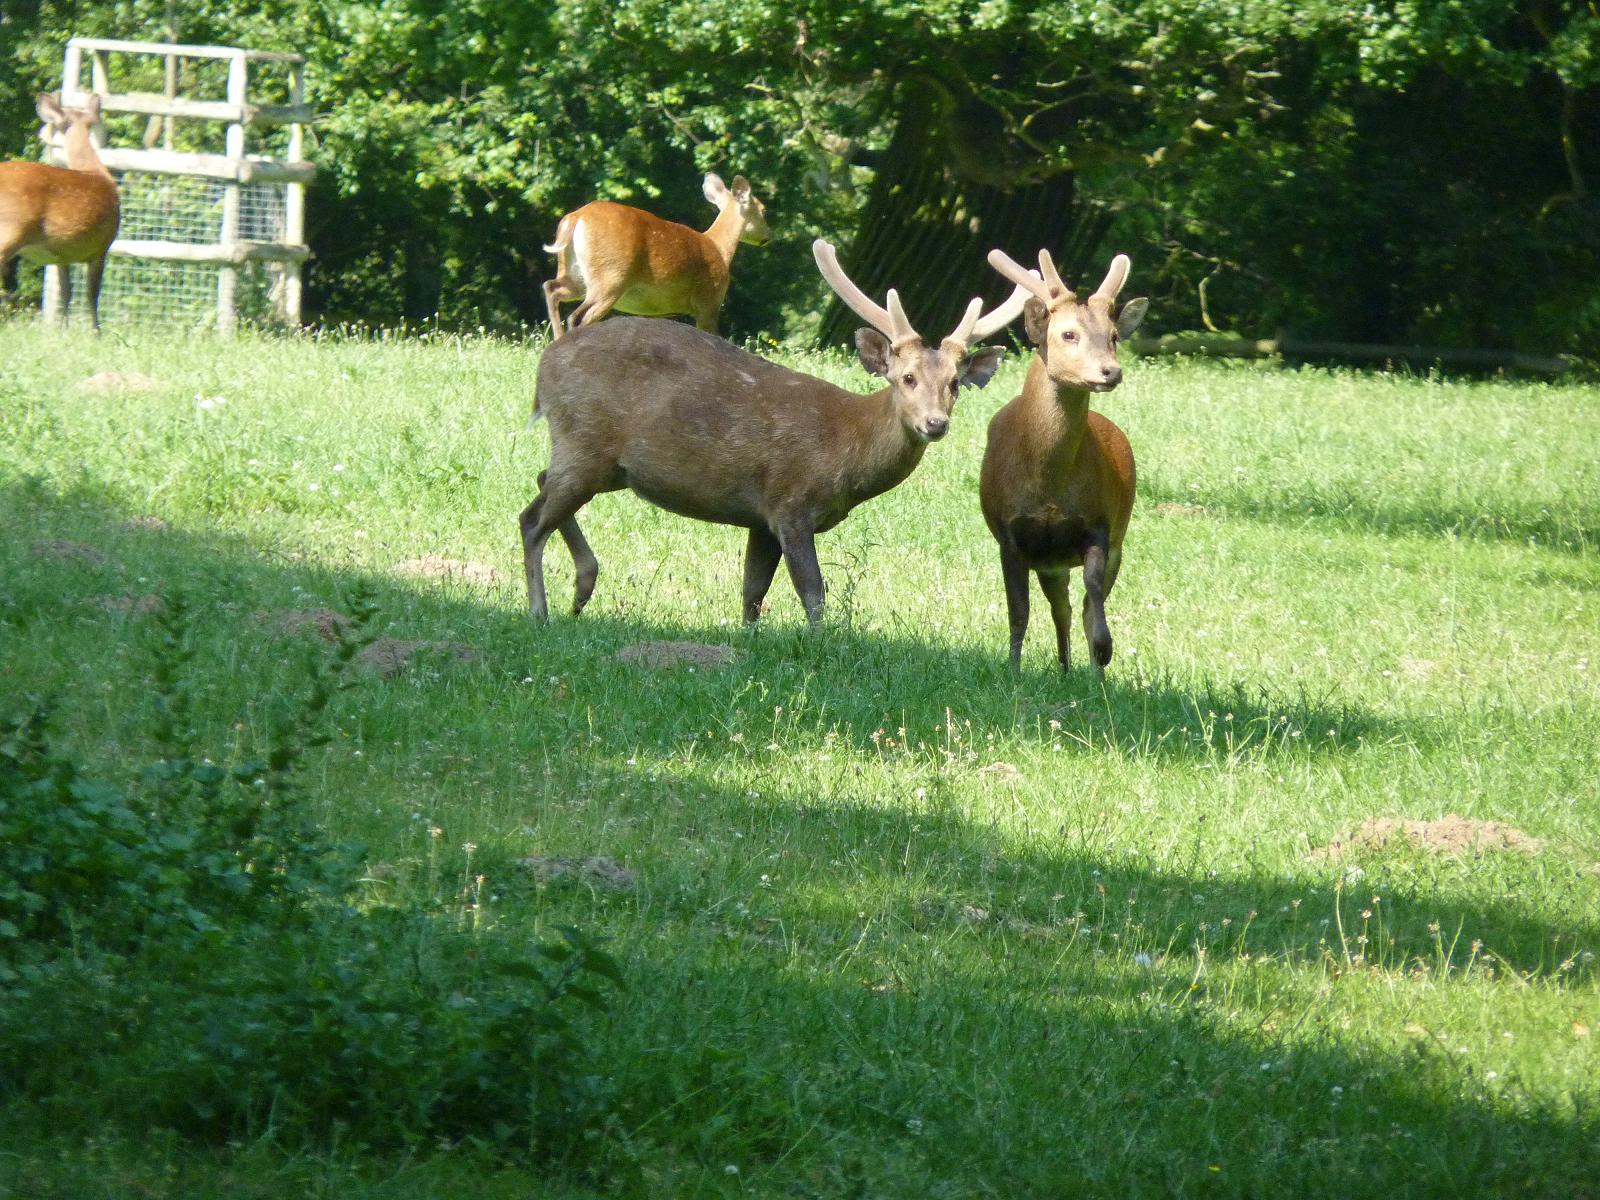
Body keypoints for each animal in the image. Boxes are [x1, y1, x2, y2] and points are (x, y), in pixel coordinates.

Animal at [0, 93, 120, 331]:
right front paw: (96, 332)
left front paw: (63, 330)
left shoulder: (61, 253)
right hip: (9, 232)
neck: (96, 170)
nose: (41, 136)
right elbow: (92, 295)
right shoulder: (102, 246)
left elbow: (66, 293)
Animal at [520, 239, 1032, 626]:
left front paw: (749, 640)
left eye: (953, 384)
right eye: (906, 378)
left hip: (606, 464)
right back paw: (541, 612)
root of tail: (543, 370)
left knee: (541, 482)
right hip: (584, 441)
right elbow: (813, 591)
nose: (935, 423)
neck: (846, 454)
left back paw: (582, 588)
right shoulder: (790, 501)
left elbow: (752, 591)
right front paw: (820, 643)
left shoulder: (759, 518)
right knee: (531, 519)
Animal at [542, 173, 771, 338]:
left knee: (551, 288)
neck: (720, 249)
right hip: (610, 277)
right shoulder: (709, 299)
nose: (768, 235)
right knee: (576, 317)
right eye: (763, 210)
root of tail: (576, 218)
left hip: (575, 275)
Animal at [979, 247, 1149, 674]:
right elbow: (1018, 611)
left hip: (1112, 539)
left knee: (1077, 607)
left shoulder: (1099, 525)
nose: (1110, 371)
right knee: (1062, 608)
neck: (1048, 488)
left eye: (1114, 336)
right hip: (1050, 562)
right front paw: (1013, 669)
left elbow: (1093, 602)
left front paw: (1103, 656)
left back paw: (1079, 669)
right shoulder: (1010, 534)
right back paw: (1064, 667)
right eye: (1068, 333)